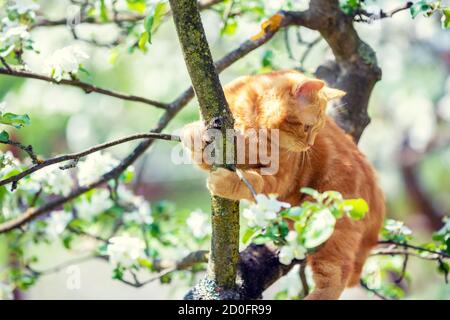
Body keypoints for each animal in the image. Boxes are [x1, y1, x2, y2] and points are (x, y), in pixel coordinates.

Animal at [181, 70, 384, 300]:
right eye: (307, 127)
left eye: (317, 129)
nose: (309, 145)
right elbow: (197, 149)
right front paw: (194, 134)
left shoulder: (279, 179)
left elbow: (254, 182)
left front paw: (225, 182)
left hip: (332, 227)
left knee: (337, 277)